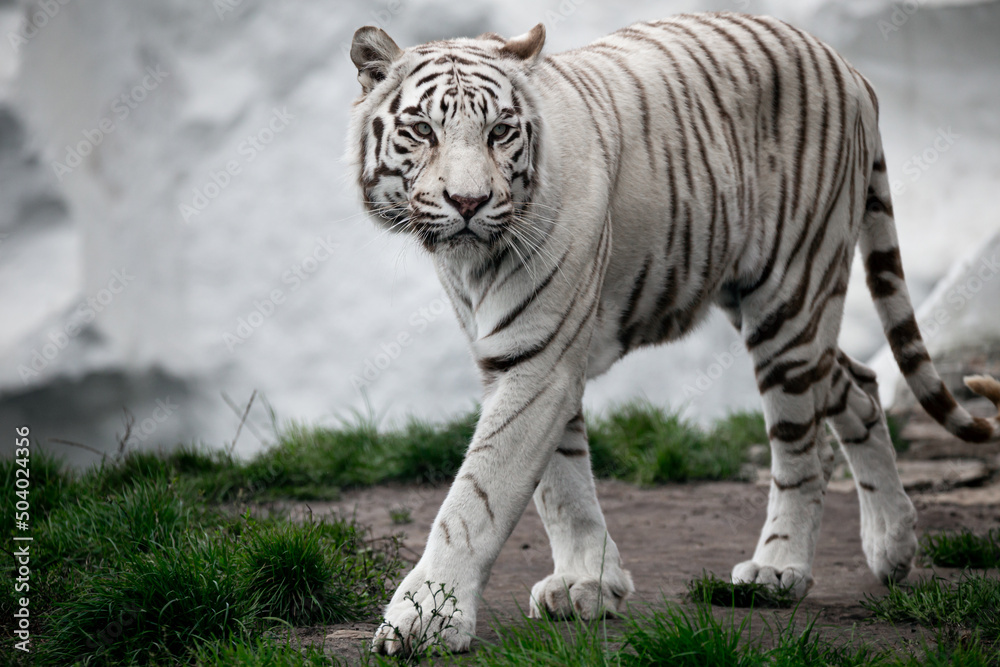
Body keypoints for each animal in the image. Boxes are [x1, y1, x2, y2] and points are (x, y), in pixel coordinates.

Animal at [347, 12, 1000, 655]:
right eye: (422, 131)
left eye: (501, 131)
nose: (468, 201)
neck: (470, 263)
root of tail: (849, 68)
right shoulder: (524, 355)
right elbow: (562, 481)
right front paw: (589, 582)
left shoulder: (539, 359)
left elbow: (478, 495)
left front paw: (426, 617)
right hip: (767, 300)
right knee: (859, 382)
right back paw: (892, 545)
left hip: (789, 296)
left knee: (799, 449)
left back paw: (780, 568)